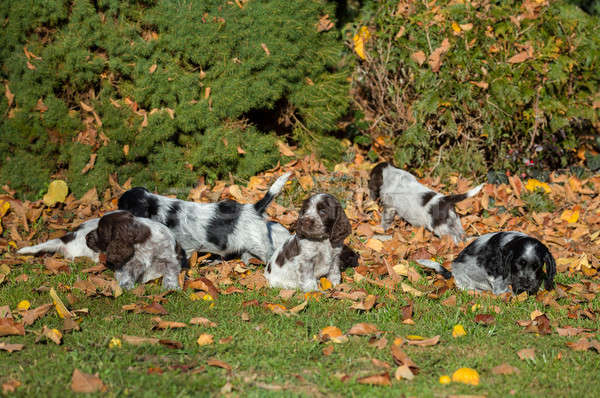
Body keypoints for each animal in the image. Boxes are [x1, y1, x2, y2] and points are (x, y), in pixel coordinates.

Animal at [418, 230, 552, 296]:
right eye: (519, 263)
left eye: (537, 266)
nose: (526, 285)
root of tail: (452, 272)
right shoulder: (496, 275)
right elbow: (501, 288)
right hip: (465, 280)